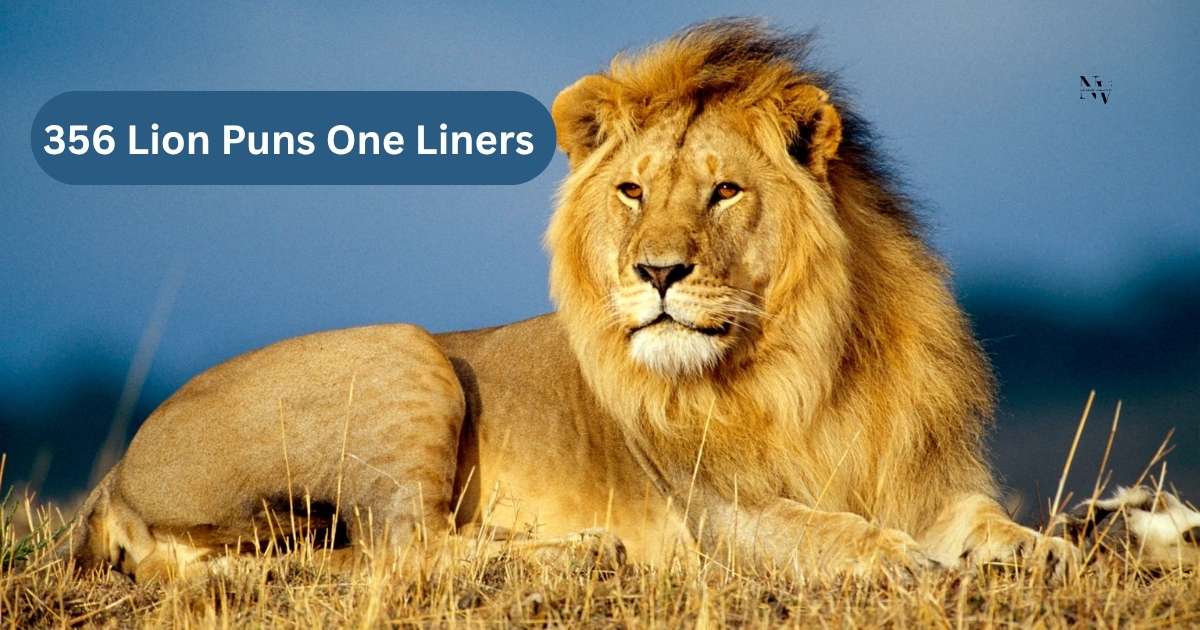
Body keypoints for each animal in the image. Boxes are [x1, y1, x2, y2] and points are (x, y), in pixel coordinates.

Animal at [65, 20, 1193, 583]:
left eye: (725, 191)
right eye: (634, 192)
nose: (656, 273)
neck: (808, 362)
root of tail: (115, 476)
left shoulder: (930, 481)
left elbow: (1001, 530)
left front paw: (1070, 546)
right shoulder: (720, 517)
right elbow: (841, 538)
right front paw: (910, 565)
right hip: (405, 353)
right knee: (404, 549)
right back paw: (577, 552)